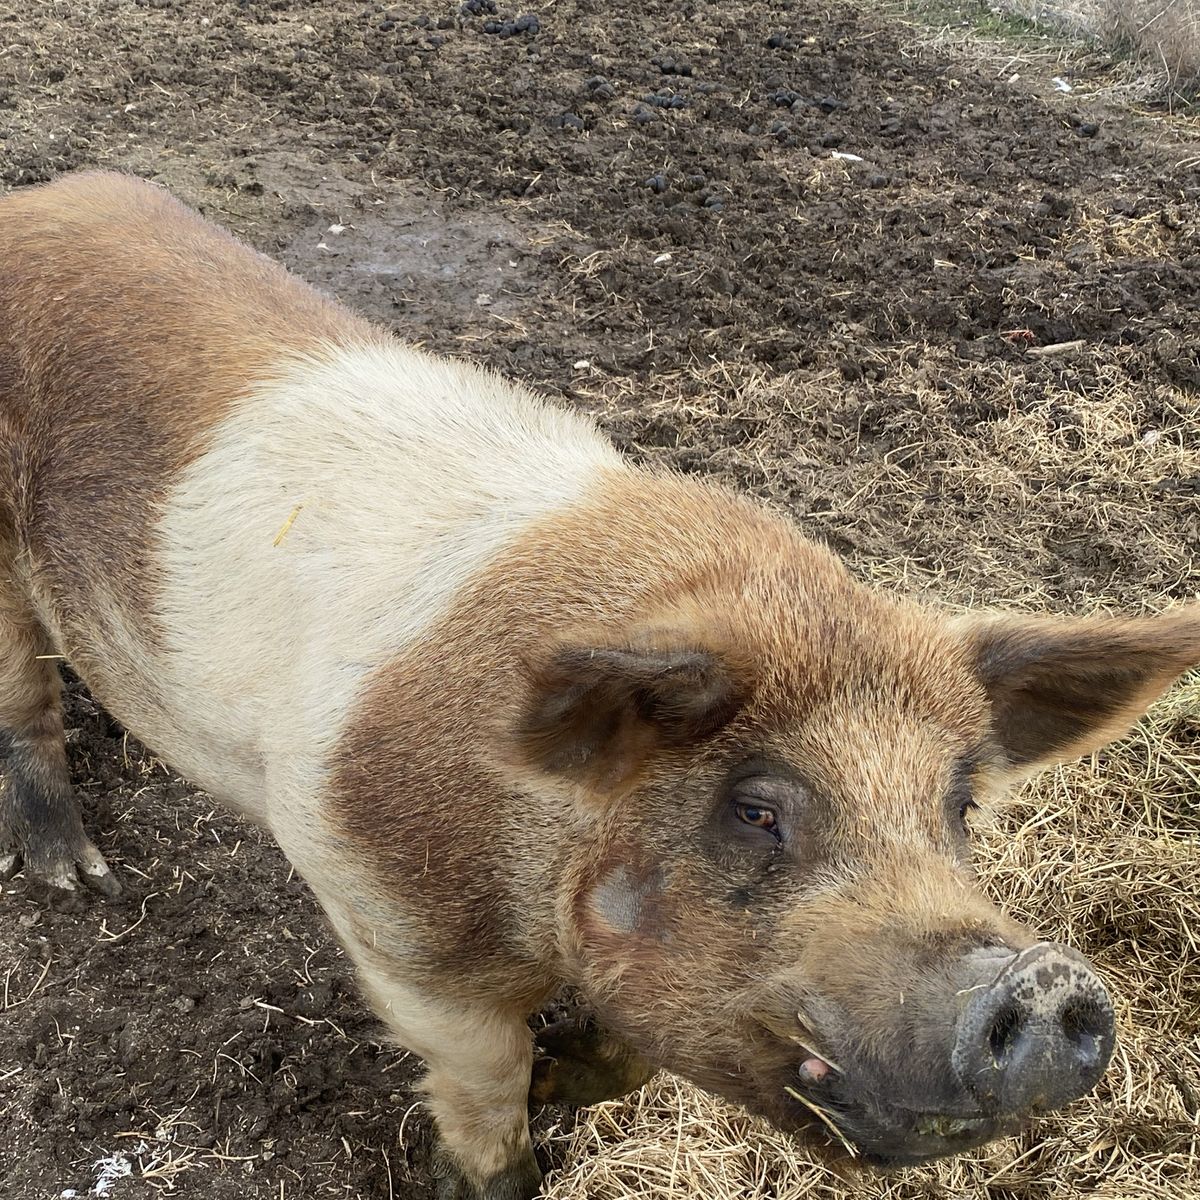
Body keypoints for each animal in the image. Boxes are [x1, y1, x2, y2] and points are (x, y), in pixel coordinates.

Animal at [0, 170, 1196, 1200]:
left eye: (957, 810)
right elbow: (481, 1077)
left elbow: (629, 1051)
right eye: (755, 811)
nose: (1047, 982)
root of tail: (39, 198)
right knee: (25, 699)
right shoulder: (386, 919)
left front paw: (568, 1072)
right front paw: (498, 1173)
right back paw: (76, 878)